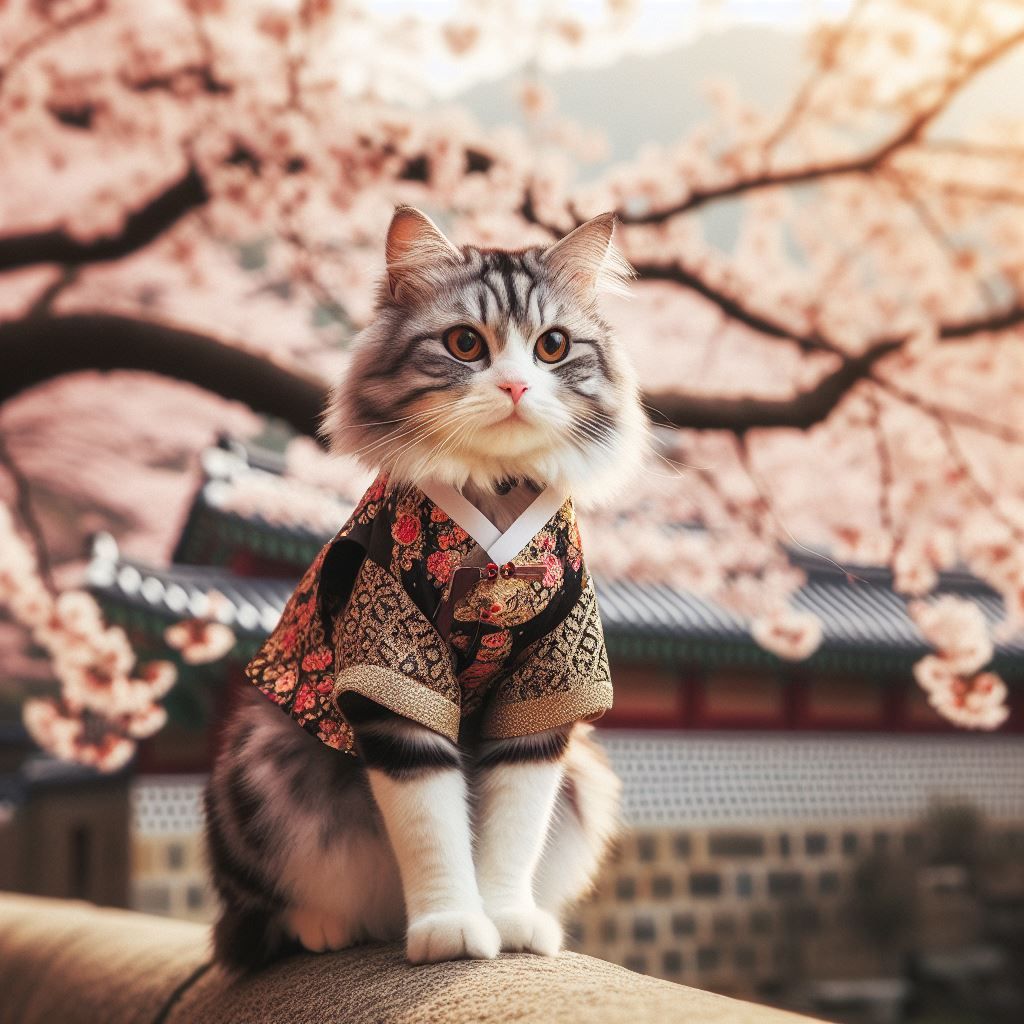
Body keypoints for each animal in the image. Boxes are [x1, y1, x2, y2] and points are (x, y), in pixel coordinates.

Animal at [202, 205, 643, 966]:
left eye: (553, 347)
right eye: (466, 343)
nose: (516, 386)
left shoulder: (548, 682)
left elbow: (512, 828)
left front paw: (508, 921)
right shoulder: (393, 666)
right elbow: (432, 824)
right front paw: (452, 930)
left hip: (588, 778)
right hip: (259, 763)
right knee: (267, 911)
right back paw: (329, 929)